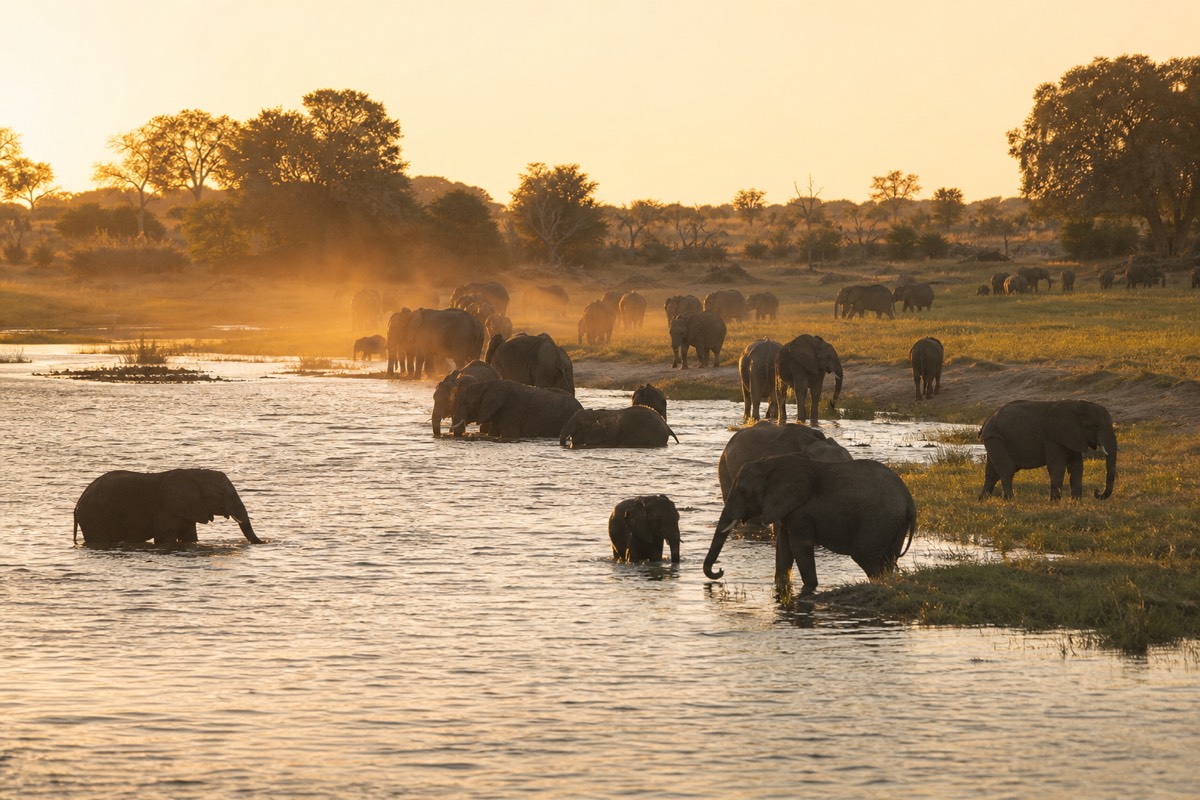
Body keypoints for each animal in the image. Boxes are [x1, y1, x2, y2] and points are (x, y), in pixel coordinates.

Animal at [74, 469, 261, 548]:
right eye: (220, 494)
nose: (264, 542)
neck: (196, 474)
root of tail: (78, 503)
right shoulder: (165, 509)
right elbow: (165, 538)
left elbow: (190, 536)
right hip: (94, 516)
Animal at [705, 454, 917, 595]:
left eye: (742, 492)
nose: (720, 570)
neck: (770, 464)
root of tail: (909, 500)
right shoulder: (788, 509)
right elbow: (783, 547)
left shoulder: (801, 510)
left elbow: (799, 546)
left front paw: (810, 587)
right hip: (895, 523)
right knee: (888, 559)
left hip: (879, 520)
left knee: (866, 557)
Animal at [978, 399, 1117, 501]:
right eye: (1096, 426)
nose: (1097, 491)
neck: (1077, 405)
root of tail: (987, 421)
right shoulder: (1052, 437)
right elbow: (1057, 466)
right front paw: (1055, 502)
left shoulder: (1073, 435)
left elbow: (1076, 466)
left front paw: (1076, 502)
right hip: (996, 439)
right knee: (1007, 470)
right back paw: (1010, 500)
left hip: (994, 440)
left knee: (992, 473)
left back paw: (983, 500)